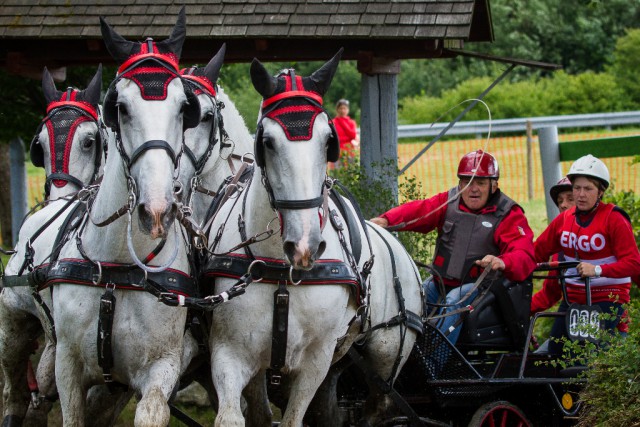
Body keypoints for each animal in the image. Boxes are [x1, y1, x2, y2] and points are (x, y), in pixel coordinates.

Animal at [51, 9, 202, 424]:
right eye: (120, 106)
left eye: (184, 107)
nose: (156, 209)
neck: (118, 268)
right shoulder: (66, 365)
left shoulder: (163, 364)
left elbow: (151, 409)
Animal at [205, 51, 424, 427]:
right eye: (267, 142)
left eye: (327, 141)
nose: (305, 245)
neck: (283, 271)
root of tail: (401, 251)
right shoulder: (230, 353)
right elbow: (238, 415)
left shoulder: (314, 361)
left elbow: (294, 419)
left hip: (385, 355)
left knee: (376, 406)